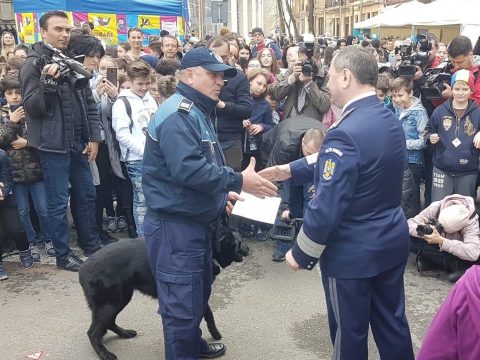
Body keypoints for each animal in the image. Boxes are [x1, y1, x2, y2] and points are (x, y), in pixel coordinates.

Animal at [79, 224, 248, 358]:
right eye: (241, 241)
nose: (248, 249)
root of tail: (83, 268)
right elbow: (208, 315)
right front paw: (214, 334)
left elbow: (207, 314)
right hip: (112, 302)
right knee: (93, 332)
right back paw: (104, 354)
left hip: (121, 298)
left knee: (109, 323)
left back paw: (125, 333)